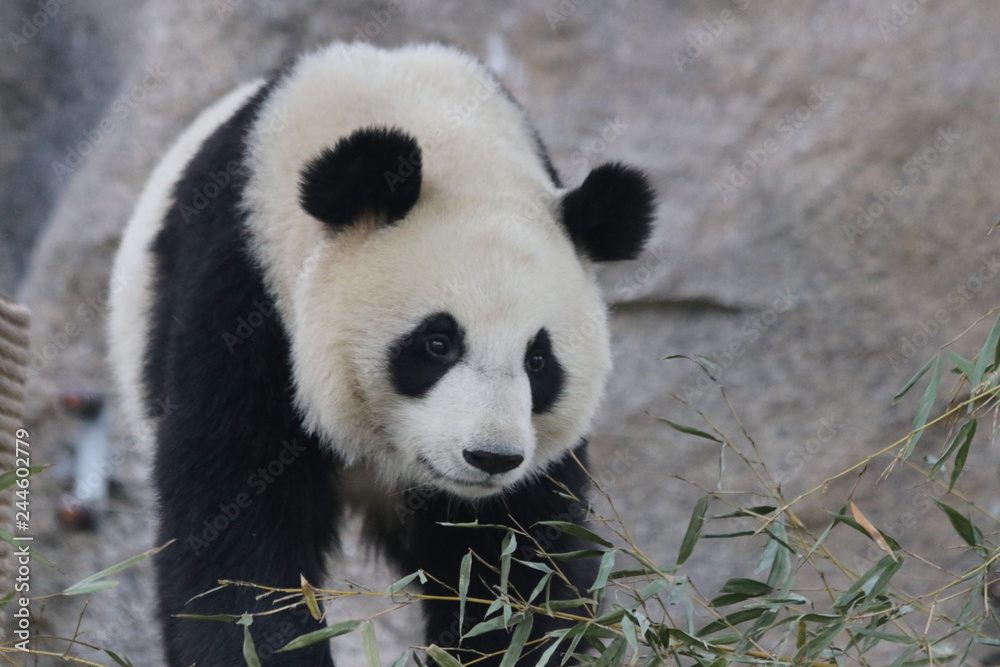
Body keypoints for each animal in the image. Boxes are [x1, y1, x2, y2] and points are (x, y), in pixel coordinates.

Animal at [108, 42, 656, 666]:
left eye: (538, 361)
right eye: (437, 344)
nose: (491, 457)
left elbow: (517, 564)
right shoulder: (242, 292)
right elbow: (234, 532)